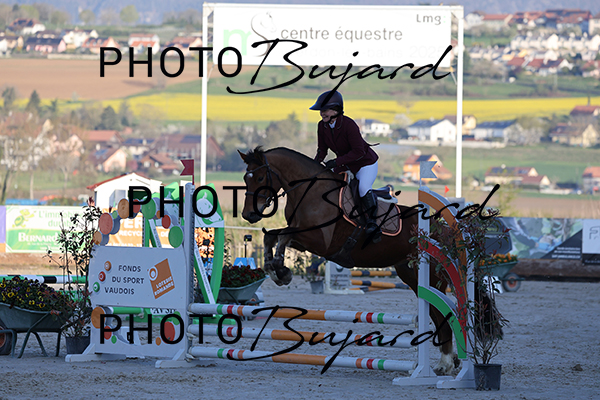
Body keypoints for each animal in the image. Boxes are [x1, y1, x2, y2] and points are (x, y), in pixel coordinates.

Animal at [238, 146, 460, 375]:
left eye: (261, 177)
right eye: (246, 178)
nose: (248, 215)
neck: (309, 193)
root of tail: (441, 228)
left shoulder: (319, 241)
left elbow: (282, 236)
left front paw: (282, 271)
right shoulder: (301, 239)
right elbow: (271, 236)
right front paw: (274, 269)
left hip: (431, 278)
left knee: (442, 313)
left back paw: (445, 363)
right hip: (410, 275)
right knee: (435, 312)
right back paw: (449, 361)